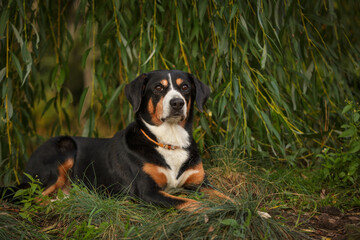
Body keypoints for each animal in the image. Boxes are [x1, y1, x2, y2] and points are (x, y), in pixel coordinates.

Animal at [13, 70, 231, 212]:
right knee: (28, 199)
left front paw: (236, 206)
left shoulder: (200, 183)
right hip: (62, 149)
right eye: (158, 88)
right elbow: (189, 203)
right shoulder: (147, 191)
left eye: (185, 87)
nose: (177, 103)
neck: (170, 142)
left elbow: (226, 197)